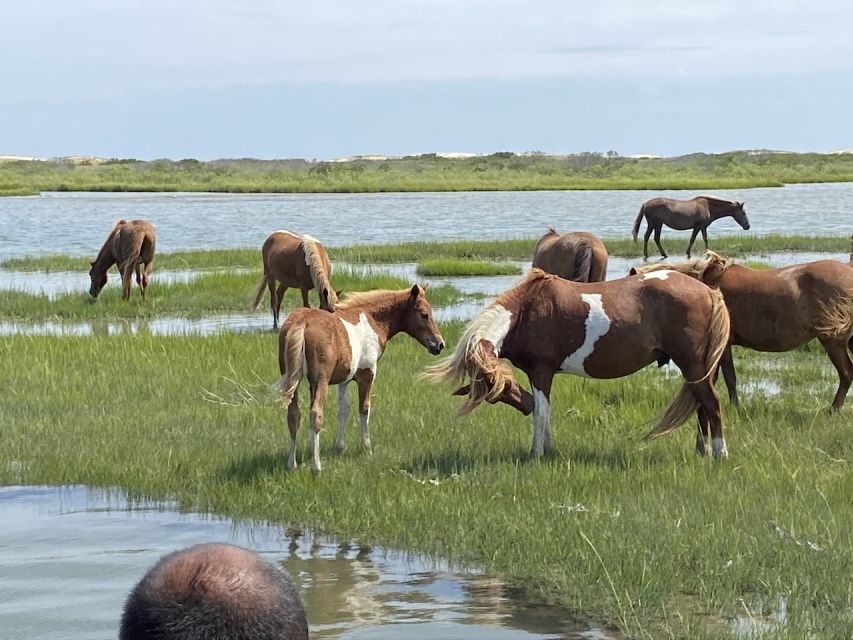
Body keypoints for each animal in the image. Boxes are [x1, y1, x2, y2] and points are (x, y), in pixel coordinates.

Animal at [278, 284, 442, 470]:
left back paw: (292, 463)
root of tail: (302, 323)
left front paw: (339, 447)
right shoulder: (367, 374)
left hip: (292, 381)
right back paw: (316, 466)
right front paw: (366, 447)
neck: (372, 320)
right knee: (315, 415)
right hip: (321, 381)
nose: (439, 344)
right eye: (424, 314)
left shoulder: (344, 380)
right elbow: (364, 408)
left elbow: (343, 410)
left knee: (293, 416)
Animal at [426, 268, 732, 460]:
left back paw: (720, 453)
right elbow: (545, 411)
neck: (526, 311)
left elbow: (542, 412)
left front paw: (535, 454)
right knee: (701, 405)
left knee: (712, 403)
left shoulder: (542, 371)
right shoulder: (539, 374)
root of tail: (707, 290)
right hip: (695, 369)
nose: (523, 405)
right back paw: (703, 450)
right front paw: (548, 450)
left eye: (508, 384)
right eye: (496, 395)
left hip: (692, 364)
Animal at [632, 250, 852, 410]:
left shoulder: (723, 346)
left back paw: (833, 410)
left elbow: (728, 378)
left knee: (846, 373)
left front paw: (735, 407)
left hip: (832, 339)